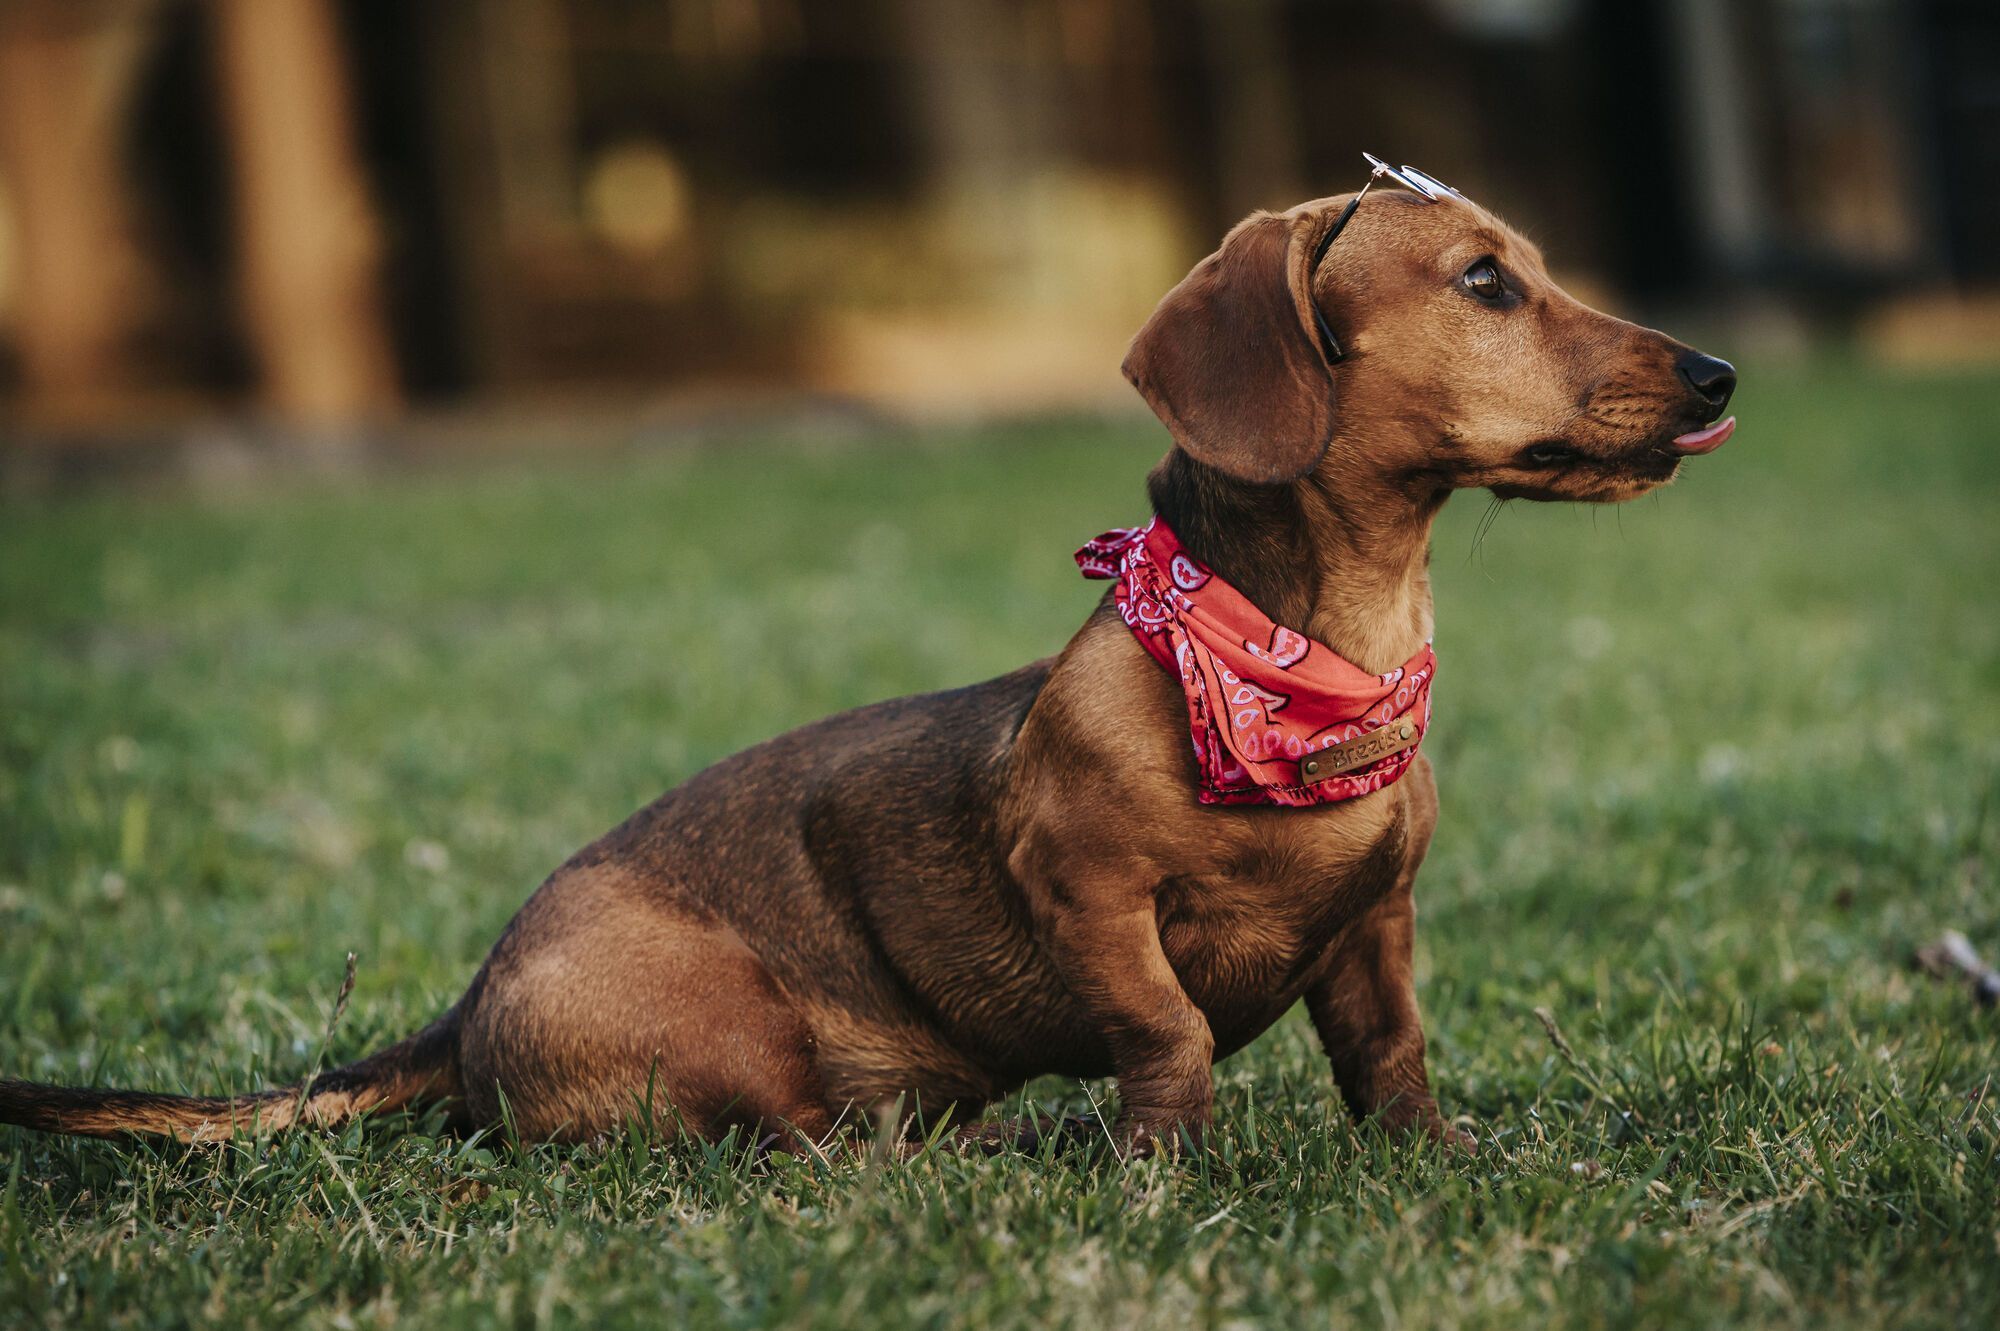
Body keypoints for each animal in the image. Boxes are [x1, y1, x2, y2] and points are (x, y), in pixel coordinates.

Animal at [0, 170, 1736, 1151]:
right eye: (1485, 282)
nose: (1722, 370)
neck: (1285, 659)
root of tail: (470, 995)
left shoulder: (1375, 927)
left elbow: (1392, 1057)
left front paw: (1436, 1162)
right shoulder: (1090, 902)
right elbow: (1166, 1035)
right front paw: (1161, 1172)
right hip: (733, 1032)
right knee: (774, 1147)